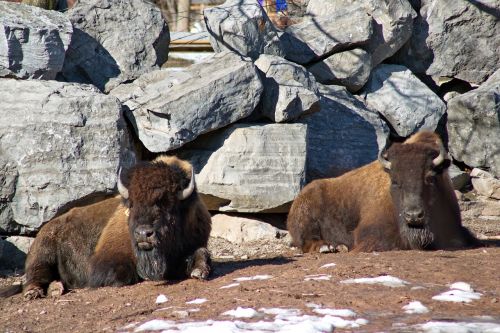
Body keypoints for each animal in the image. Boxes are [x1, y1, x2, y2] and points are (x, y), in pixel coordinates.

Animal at [0, 156, 211, 298]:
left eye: (168, 204)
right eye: (132, 204)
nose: (144, 234)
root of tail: (47, 227)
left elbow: (201, 253)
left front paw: (199, 271)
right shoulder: (105, 262)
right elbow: (122, 275)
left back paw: (56, 289)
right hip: (42, 256)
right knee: (33, 278)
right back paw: (35, 293)